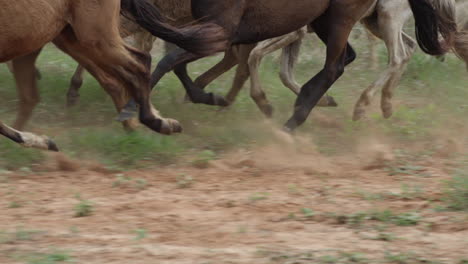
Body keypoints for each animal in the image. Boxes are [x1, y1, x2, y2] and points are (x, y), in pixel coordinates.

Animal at [118, 0, 468, 132]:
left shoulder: (227, 32)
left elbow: (169, 61)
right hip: (357, 21)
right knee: (385, 53)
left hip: (364, 17)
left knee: (370, 60)